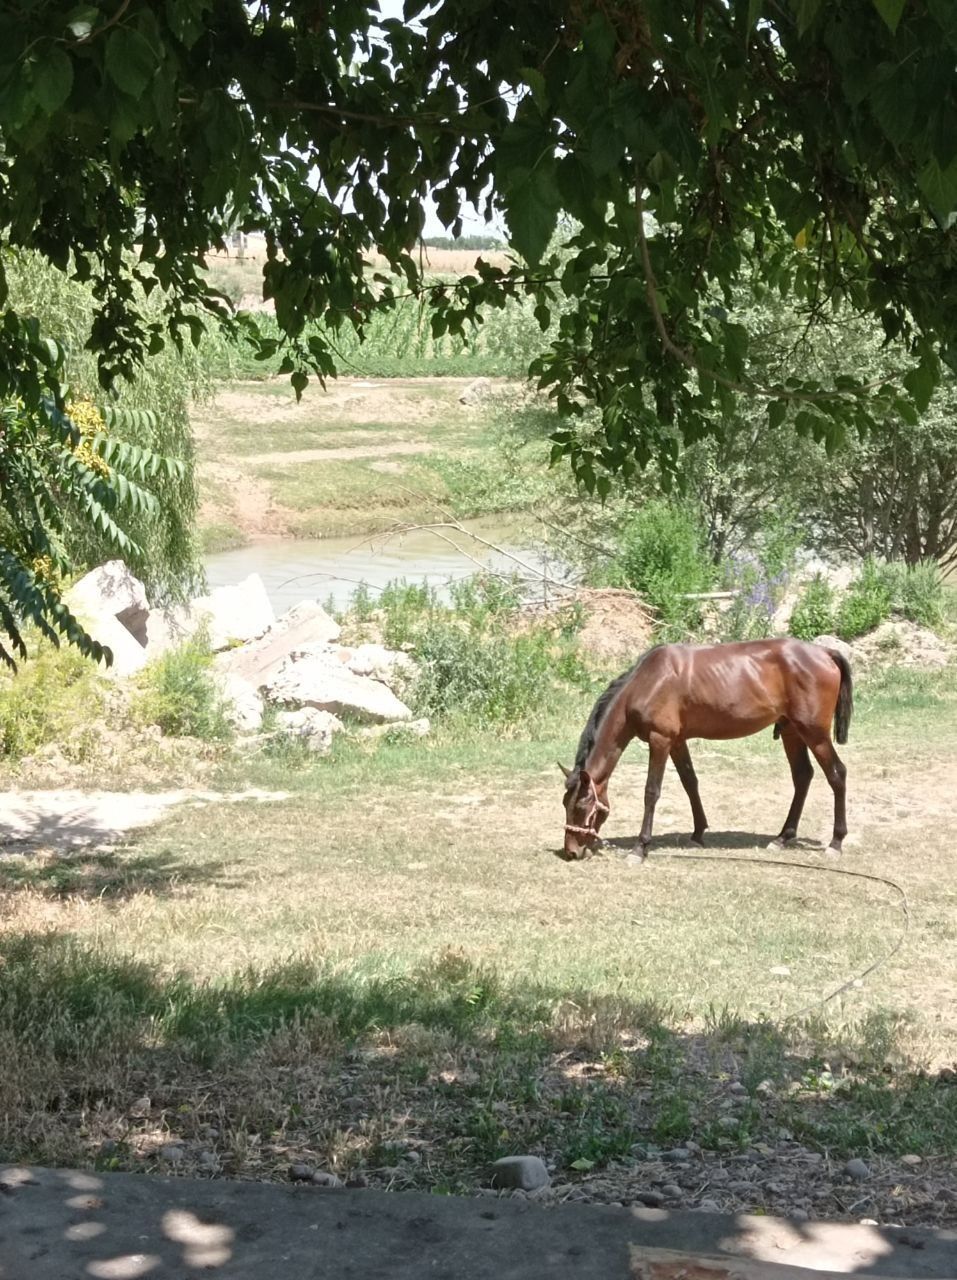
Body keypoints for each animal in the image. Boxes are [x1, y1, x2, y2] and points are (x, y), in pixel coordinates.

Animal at [560, 637, 854, 860]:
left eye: (582, 807)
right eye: (565, 803)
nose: (571, 851)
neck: (648, 682)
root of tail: (826, 653)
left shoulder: (660, 740)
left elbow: (651, 792)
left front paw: (640, 848)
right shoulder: (677, 742)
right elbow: (690, 782)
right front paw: (698, 833)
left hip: (814, 733)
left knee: (837, 774)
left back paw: (835, 842)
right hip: (792, 731)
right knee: (803, 776)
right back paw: (783, 837)